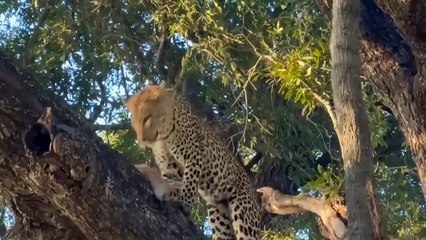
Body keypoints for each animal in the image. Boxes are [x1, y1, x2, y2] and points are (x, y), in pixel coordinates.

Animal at [125, 84, 262, 240]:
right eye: (134, 124)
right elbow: (172, 182)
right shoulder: (170, 171)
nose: (142, 141)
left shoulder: (193, 155)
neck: (162, 138)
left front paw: (185, 204)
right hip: (218, 213)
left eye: (147, 118)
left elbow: (189, 182)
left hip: (243, 213)